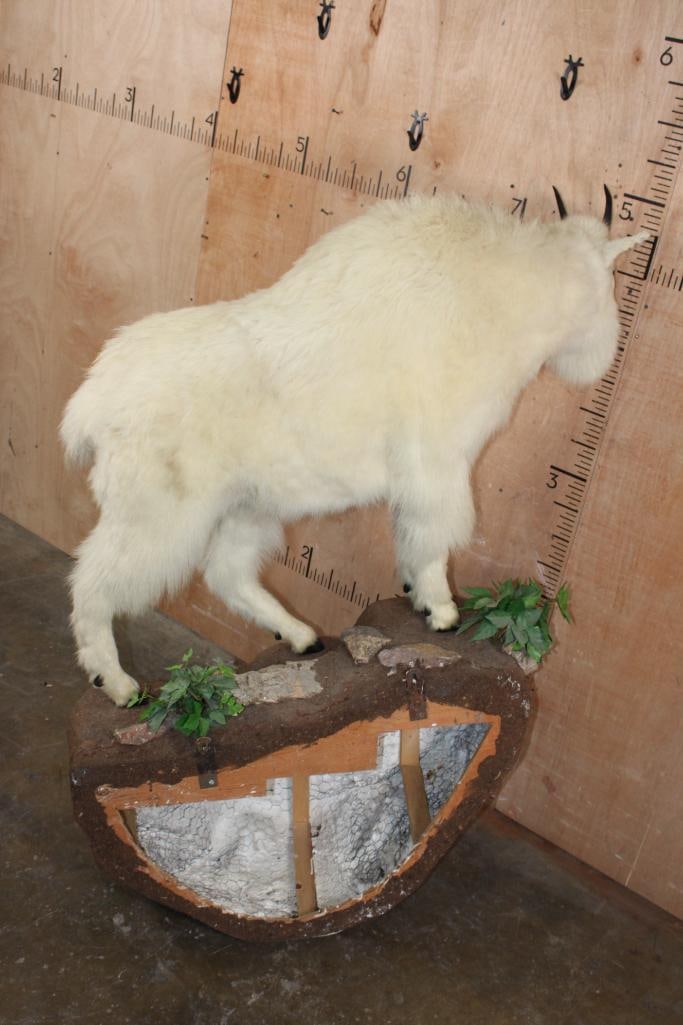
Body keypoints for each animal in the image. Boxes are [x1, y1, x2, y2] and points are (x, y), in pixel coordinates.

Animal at [61, 188, 647, 705]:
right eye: (611, 279)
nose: (602, 356)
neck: (501, 295)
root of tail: (92, 404)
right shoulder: (438, 460)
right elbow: (434, 534)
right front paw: (441, 610)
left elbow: (410, 532)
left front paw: (414, 595)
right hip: (156, 515)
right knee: (93, 583)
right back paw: (117, 683)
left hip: (246, 506)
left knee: (228, 574)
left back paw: (300, 635)